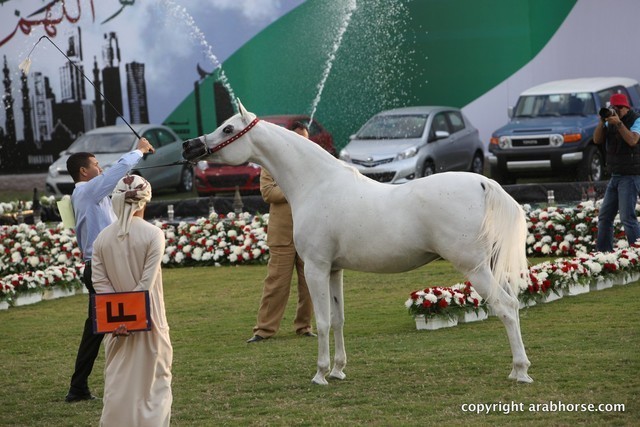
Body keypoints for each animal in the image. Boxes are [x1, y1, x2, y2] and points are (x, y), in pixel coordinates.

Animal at [183, 101, 533, 385]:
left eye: (228, 128)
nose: (189, 146)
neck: (317, 184)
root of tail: (482, 182)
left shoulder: (315, 268)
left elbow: (323, 321)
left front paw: (320, 374)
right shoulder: (334, 270)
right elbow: (338, 320)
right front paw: (338, 370)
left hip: (474, 268)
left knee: (504, 307)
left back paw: (520, 372)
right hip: (489, 267)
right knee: (513, 307)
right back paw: (518, 369)